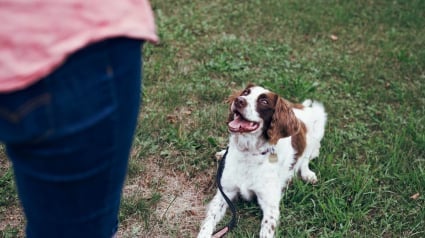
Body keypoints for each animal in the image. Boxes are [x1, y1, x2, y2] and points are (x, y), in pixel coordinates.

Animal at [197, 84, 326, 238]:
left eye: (264, 101)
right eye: (245, 93)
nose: (239, 100)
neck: (249, 153)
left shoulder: (270, 205)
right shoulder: (225, 193)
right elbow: (208, 223)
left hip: (319, 123)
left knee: (306, 157)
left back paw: (307, 174)